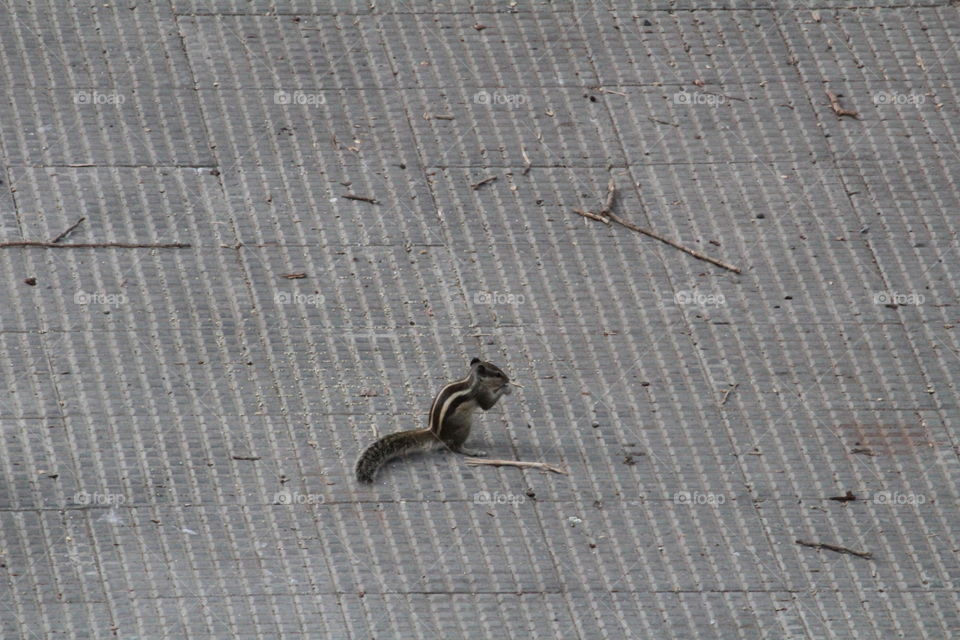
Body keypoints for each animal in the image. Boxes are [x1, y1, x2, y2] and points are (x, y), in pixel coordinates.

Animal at [355, 358, 513, 483]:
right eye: (498, 374)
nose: (508, 379)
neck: (473, 380)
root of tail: (435, 432)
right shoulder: (481, 394)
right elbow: (487, 405)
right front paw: (506, 389)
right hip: (464, 425)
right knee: (455, 447)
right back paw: (473, 452)